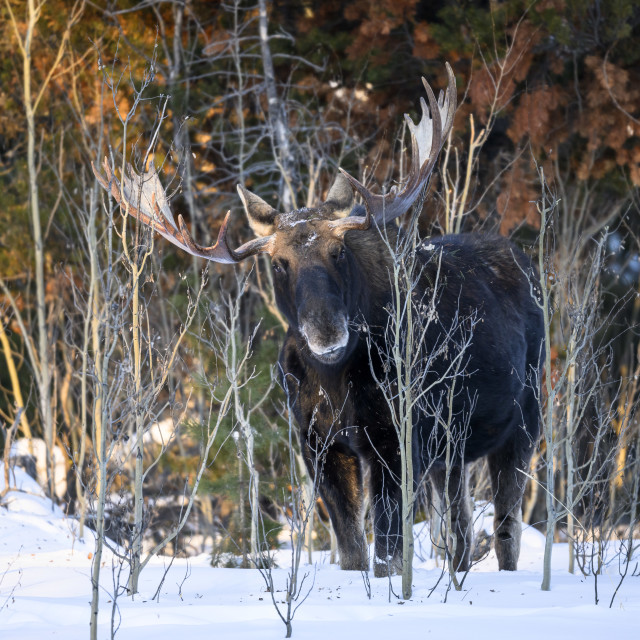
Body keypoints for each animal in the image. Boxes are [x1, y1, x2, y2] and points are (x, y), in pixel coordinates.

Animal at [95, 63, 544, 576]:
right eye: (278, 264)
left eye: (338, 251)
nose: (326, 331)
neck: (334, 380)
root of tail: (526, 262)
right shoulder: (318, 444)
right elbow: (351, 552)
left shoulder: (396, 437)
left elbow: (389, 553)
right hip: (451, 453)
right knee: (463, 529)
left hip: (525, 418)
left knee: (506, 529)